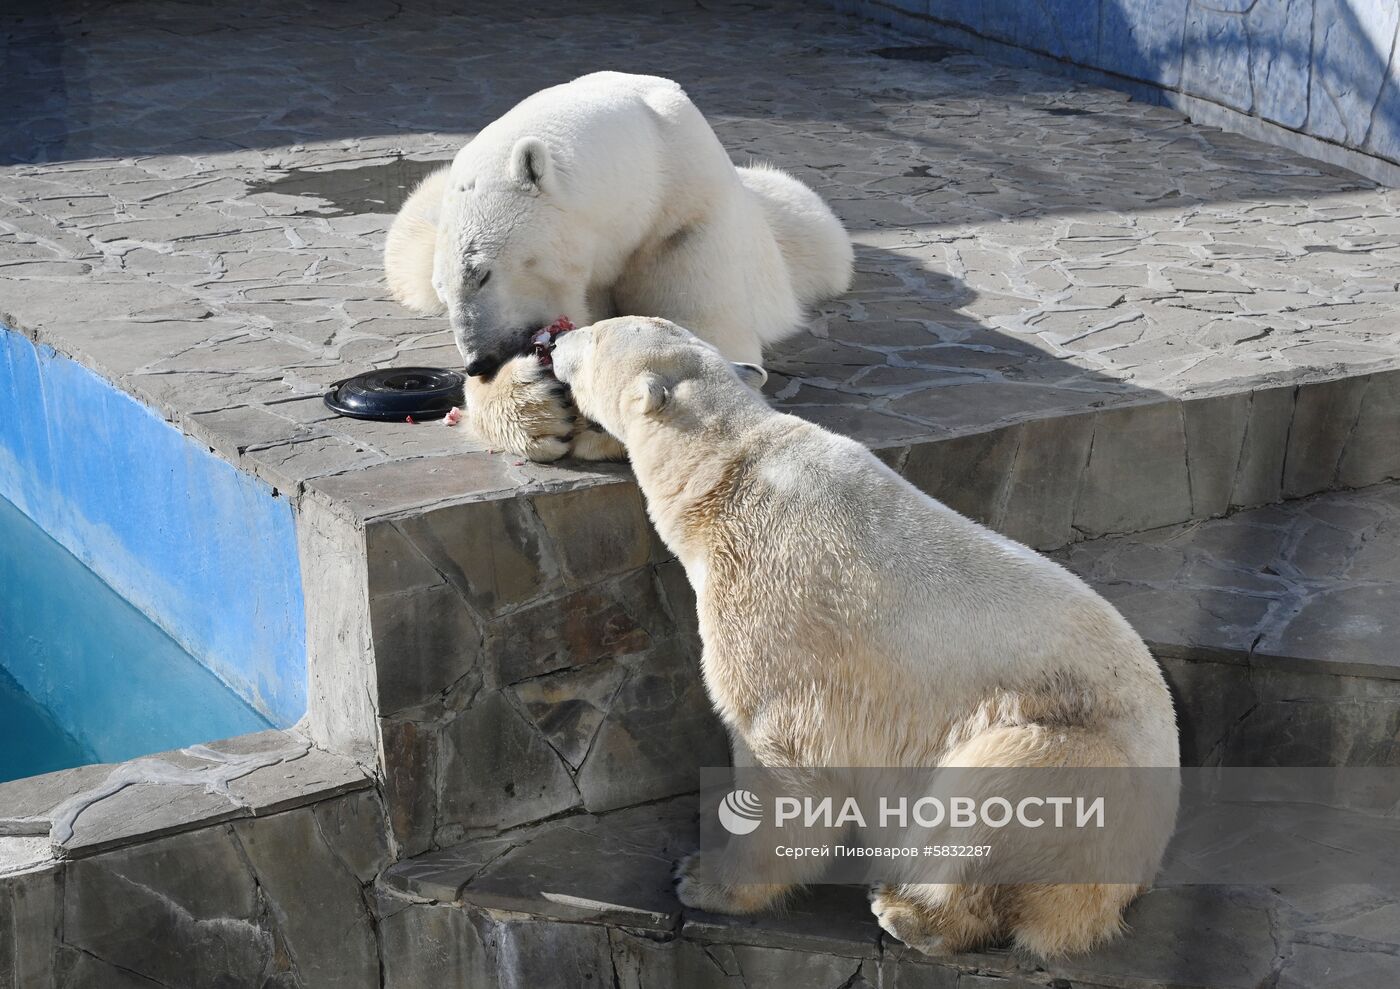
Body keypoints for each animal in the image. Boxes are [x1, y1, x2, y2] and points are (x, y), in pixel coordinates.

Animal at [380, 70, 851, 462]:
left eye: (482, 273)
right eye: (444, 288)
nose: (479, 361)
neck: (651, 154)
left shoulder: (687, 222)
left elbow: (704, 338)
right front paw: (537, 410)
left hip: (800, 233)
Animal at [548, 316, 1181, 952]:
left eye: (596, 336)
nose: (553, 342)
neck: (728, 469)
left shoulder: (772, 602)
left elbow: (780, 751)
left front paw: (703, 879)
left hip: (1076, 760)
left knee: (986, 789)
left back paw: (909, 912)